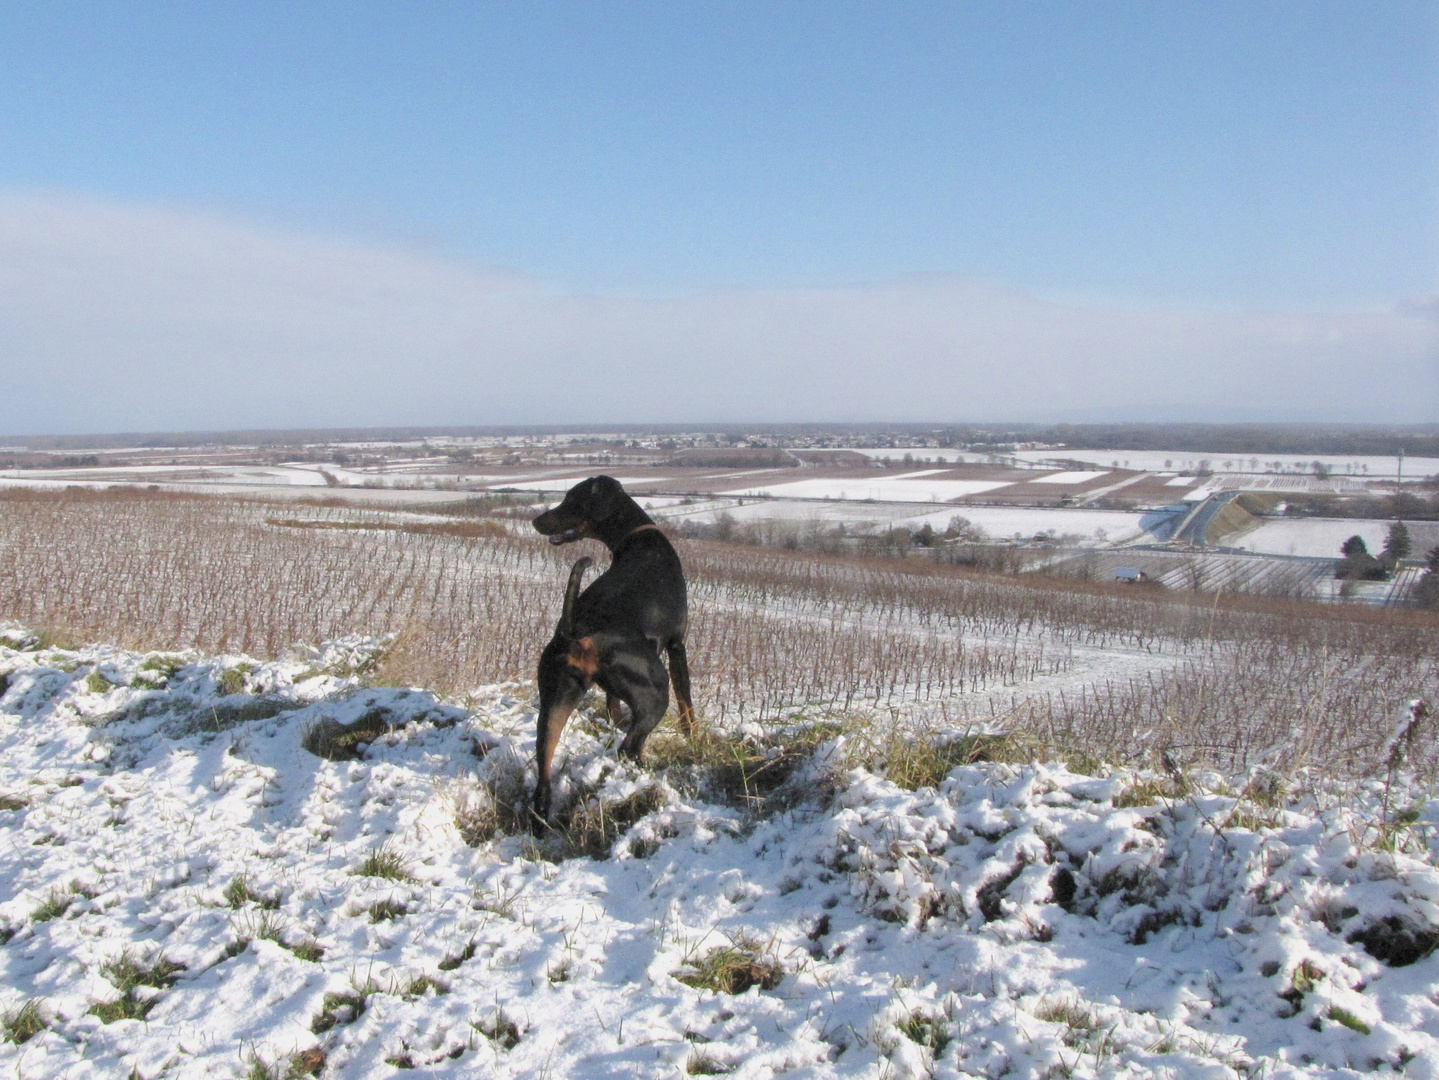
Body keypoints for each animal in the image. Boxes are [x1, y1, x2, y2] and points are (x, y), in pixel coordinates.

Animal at [532, 477, 693, 822]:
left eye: (571, 499)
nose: (536, 521)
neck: (639, 538)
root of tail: (576, 634)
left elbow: (612, 705)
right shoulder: (677, 645)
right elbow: (688, 705)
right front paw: (695, 740)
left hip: (554, 703)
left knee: (543, 782)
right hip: (655, 695)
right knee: (628, 747)